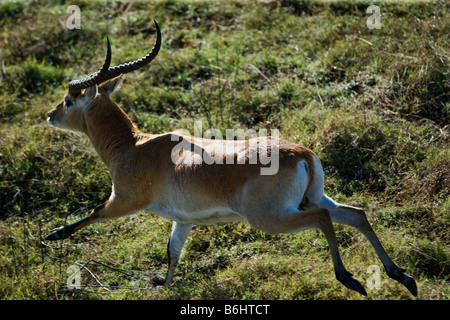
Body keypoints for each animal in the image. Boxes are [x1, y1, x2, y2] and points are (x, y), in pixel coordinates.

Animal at [46, 19, 418, 296]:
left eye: (68, 100)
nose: (50, 115)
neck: (133, 146)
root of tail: (303, 154)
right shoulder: (183, 219)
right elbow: (172, 253)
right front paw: (164, 287)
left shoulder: (123, 200)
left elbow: (94, 212)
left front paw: (53, 234)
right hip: (313, 197)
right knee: (356, 214)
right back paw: (402, 277)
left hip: (270, 217)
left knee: (323, 219)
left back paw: (350, 279)